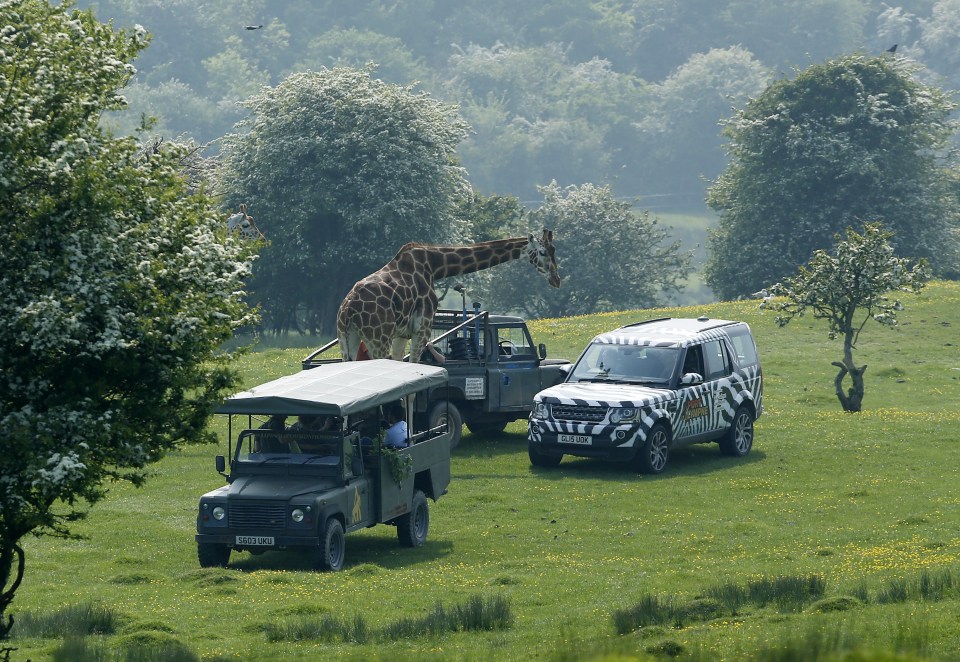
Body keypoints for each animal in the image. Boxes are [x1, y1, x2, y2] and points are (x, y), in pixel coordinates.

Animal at [340, 232, 560, 364]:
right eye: (542, 252)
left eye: (554, 251)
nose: (556, 280)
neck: (435, 266)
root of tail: (349, 309)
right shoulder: (422, 329)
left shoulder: (402, 334)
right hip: (378, 338)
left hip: (347, 338)